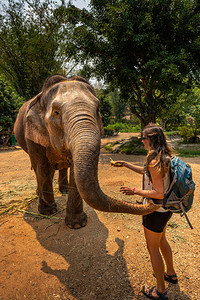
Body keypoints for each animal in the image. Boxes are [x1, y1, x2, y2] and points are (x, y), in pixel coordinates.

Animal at [14, 74, 160, 229]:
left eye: (98, 110)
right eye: (56, 113)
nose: (152, 202)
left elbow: (74, 171)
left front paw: (77, 224)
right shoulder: (33, 135)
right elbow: (42, 167)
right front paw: (48, 212)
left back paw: (64, 190)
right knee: (39, 168)